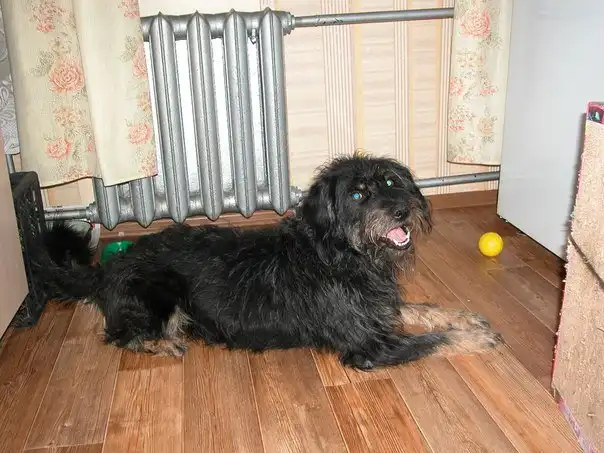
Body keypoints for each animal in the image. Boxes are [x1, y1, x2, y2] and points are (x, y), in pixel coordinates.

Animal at [38, 155, 503, 370]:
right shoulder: (369, 346)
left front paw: (466, 318)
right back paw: (163, 342)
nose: (403, 210)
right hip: (159, 293)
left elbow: (423, 310)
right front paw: (476, 339)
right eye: (357, 194)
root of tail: (109, 269)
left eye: (391, 182)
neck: (338, 254)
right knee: (122, 334)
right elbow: (434, 341)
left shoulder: (377, 308)